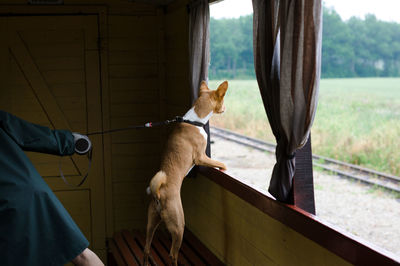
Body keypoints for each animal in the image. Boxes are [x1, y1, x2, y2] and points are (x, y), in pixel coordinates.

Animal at [143, 80, 228, 264]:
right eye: (223, 100)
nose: (225, 108)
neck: (194, 120)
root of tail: (158, 193)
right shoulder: (201, 157)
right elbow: (220, 162)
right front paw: (223, 167)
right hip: (178, 225)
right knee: (172, 254)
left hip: (151, 222)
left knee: (146, 249)